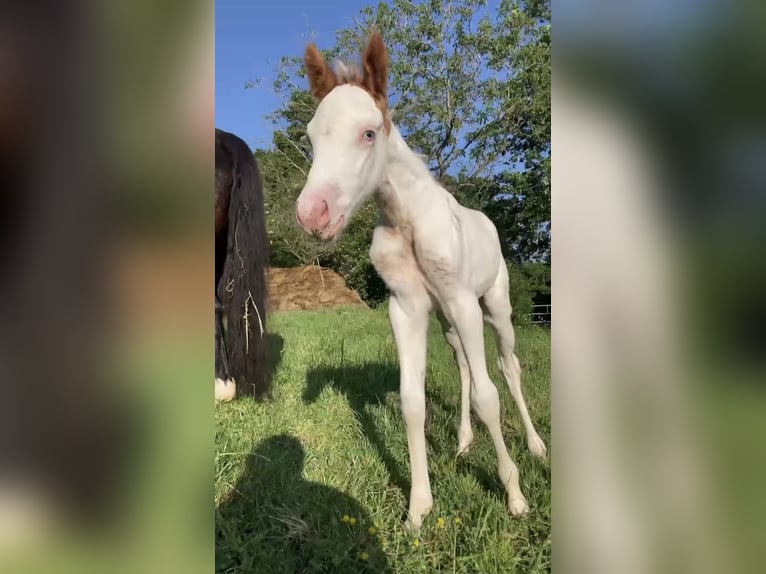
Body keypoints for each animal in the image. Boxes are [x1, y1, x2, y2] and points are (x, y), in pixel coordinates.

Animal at [294, 33, 547, 529]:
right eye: (311, 136)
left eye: (368, 133)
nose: (312, 215)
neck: (407, 220)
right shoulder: (407, 307)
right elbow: (413, 401)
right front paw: (418, 507)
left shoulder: (464, 301)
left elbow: (490, 396)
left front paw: (514, 496)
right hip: (447, 321)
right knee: (464, 365)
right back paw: (464, 442)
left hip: (495, 307)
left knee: (508, 368)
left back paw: (535, 446)